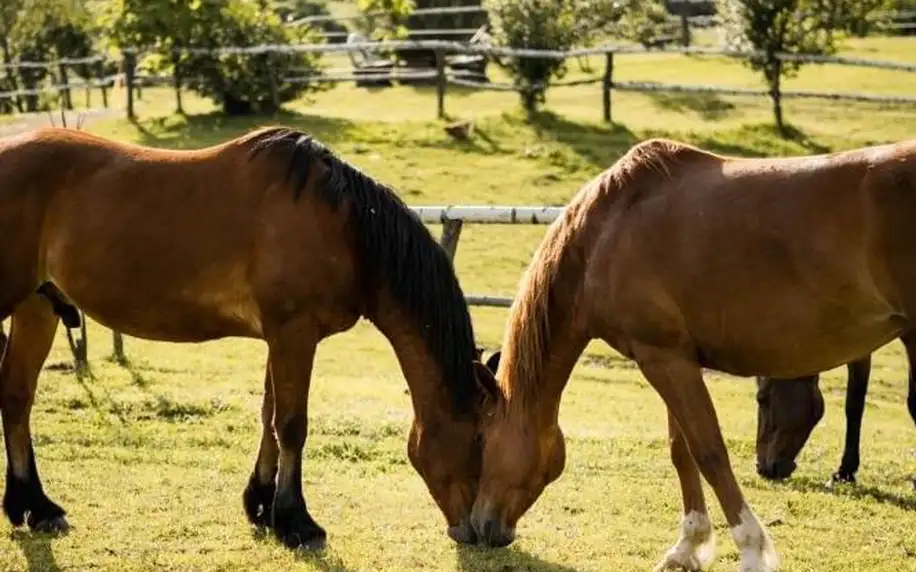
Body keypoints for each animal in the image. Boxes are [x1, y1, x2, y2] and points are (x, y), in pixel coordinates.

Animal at [0, 126, 500, 548]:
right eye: (481, 441)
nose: (478, 531)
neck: (344, 226)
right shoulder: (294, 334)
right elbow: (292, 425)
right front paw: (297, 521)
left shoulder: (281, 337)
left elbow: (269, 417)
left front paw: (262, 504)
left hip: (37, 307)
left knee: (17, 396)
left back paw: (35, 506)